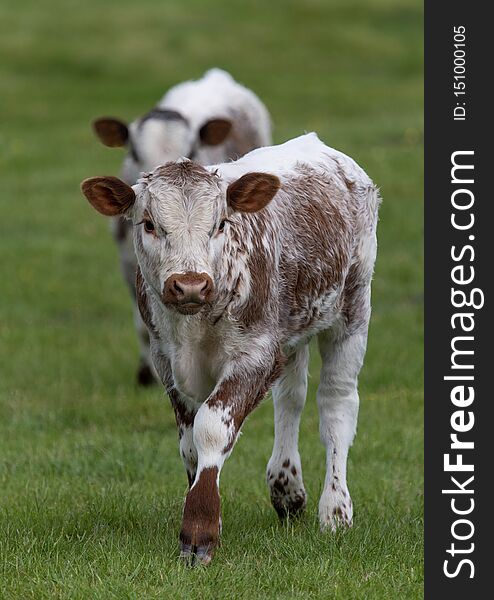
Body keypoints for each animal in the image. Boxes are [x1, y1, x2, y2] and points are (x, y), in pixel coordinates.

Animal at [82, 134, 382, 564]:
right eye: (150, 224)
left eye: (220, 223)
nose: (190, 285)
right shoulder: (166, 362)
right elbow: (190, 445)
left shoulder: (254, 355)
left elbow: (210, 428)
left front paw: (199, 531)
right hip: (291, 331)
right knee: (290, 399)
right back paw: (286, 488)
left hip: (353, 310)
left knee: (336, 406)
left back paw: (336, 509)